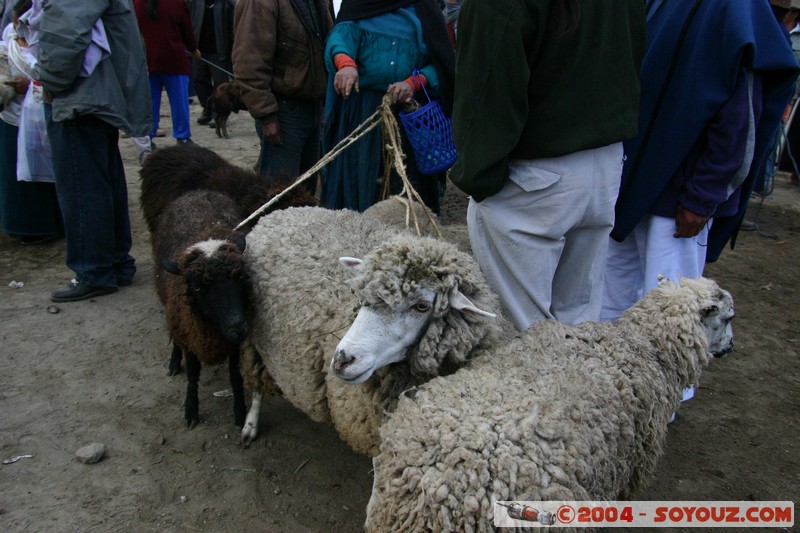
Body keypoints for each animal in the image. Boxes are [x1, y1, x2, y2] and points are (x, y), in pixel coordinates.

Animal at [239, 206, 512, 450]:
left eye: (422, 306)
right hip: (253, 338)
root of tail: (278, 213)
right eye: (361, 295)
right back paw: (250, 425)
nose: (342, 360)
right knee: (256, 383)